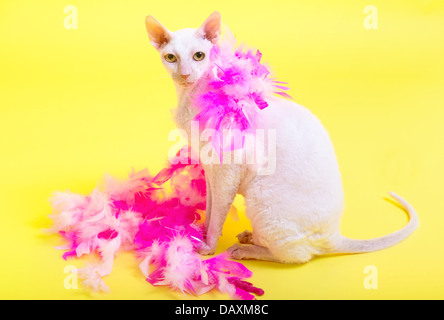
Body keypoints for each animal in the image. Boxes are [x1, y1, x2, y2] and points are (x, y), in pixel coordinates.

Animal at [144, 11, 418, 262]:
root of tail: (334, 235)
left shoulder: (226, 171)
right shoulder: (210, 167)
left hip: (262, 200)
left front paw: (208, 246)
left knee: (294, 255)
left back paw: (245, 249)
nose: (184, 74)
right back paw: (249, 237)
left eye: (199, 55)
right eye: (171, 58)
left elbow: (218, 214)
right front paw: (198, 232)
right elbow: (211, 208)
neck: (191, 97)